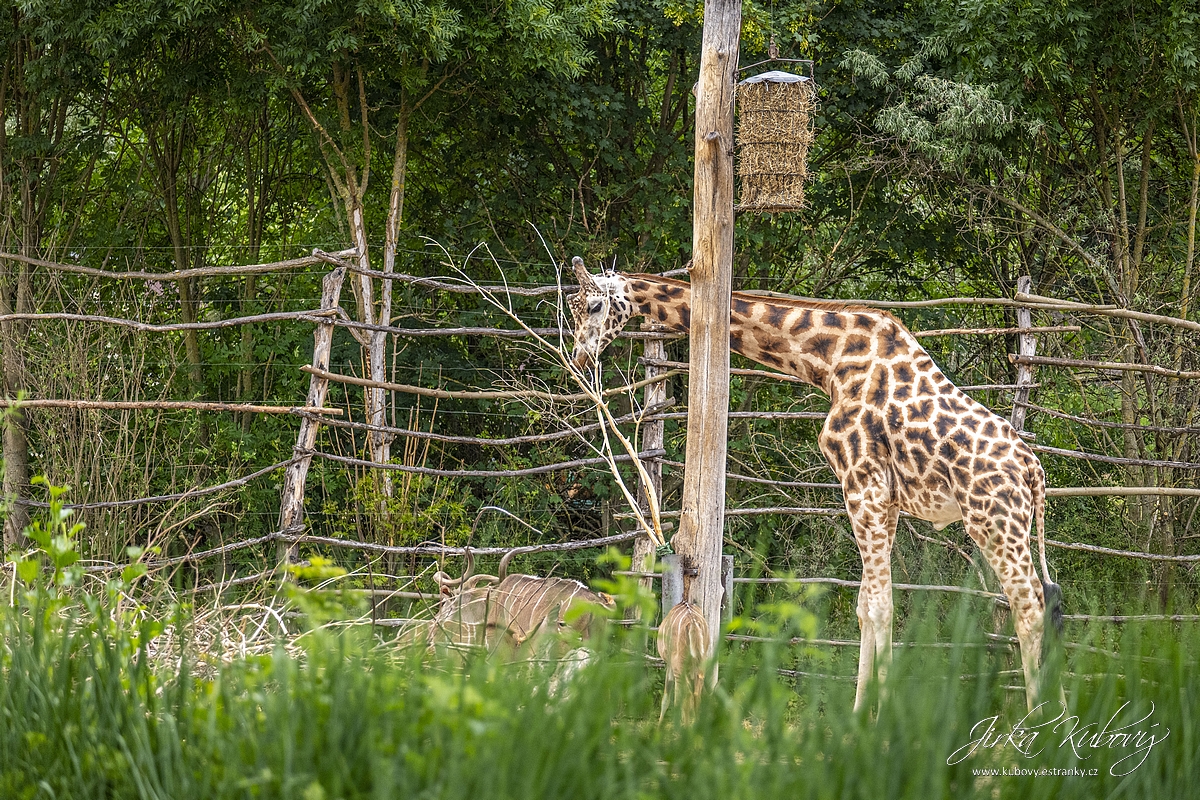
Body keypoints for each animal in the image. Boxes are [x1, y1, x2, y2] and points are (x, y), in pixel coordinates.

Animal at [566, 257, 1065, 714]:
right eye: (571, 306)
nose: (578, 358)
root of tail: (1034, 472)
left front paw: (875, 721)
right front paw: (863, 715)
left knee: (1030, 607)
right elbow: (866, 605)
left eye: (593, 305)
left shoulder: (862, 483)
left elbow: (879, 606)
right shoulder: (886, 500)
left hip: (992, 521)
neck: (828, 361)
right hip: (1009, 524)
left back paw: (1036, 724)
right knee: (1047, 601)